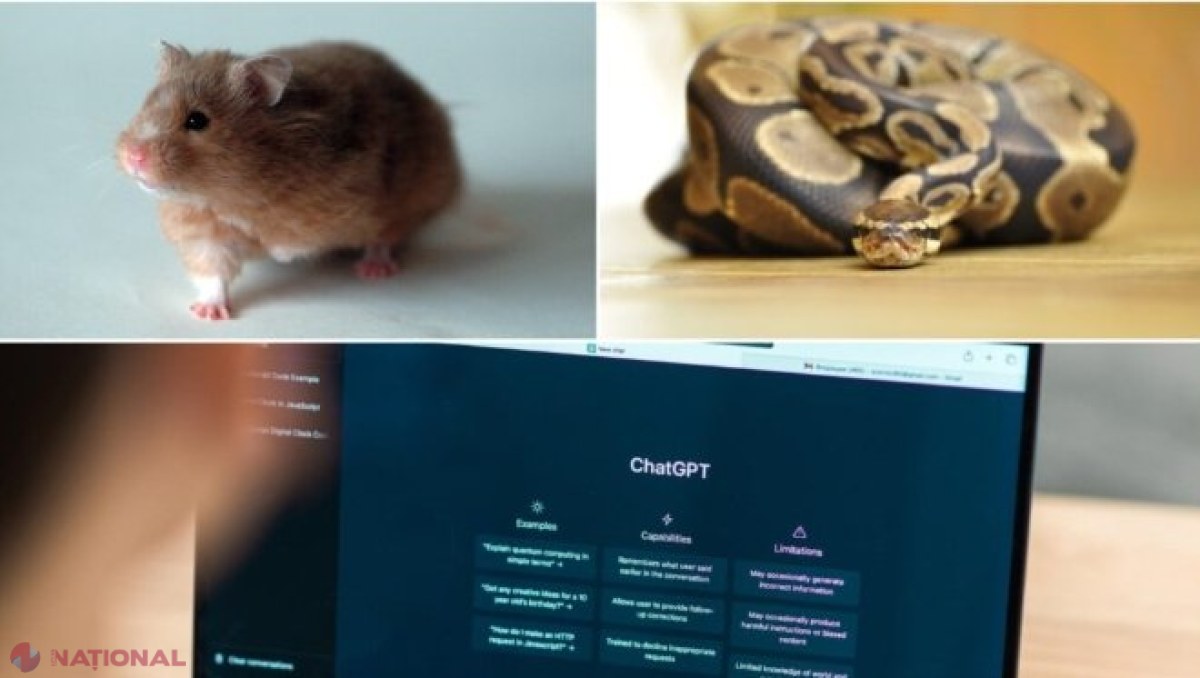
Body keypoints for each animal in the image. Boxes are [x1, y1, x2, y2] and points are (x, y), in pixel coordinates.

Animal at [116, 41, 462, 320]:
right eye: (145, 105)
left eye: (197, 120)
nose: (133, 157)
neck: (231, 192)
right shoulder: (203, 232)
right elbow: (213, 272)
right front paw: (208, 314)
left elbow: (302, 240)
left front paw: (281, 253)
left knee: (386, 235)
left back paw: (373, 271)